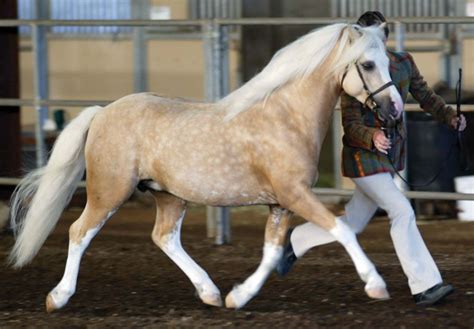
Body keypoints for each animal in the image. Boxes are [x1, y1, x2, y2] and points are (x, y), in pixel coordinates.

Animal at [10, 23, 404, 310]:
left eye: (387, 62)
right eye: (368, 64)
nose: (395, 109)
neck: (286, 117)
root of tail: (101, 112)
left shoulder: (280, 204)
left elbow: (271, 252)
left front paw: (238, 297)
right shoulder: (296, 195)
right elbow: (342, 229)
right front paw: (376, 285)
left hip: (169, 195)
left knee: (164, 237)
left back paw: (210, 292)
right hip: (109, 191)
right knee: (79, 231)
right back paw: (57, 298)